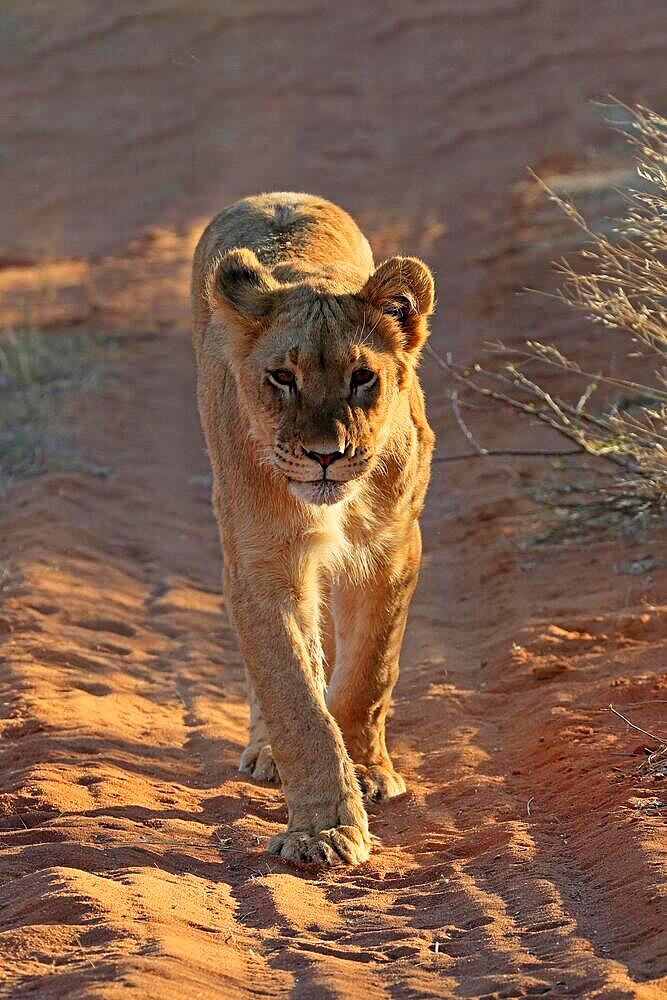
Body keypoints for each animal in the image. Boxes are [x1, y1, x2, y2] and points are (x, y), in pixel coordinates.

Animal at [190, 191, 436, 864]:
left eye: (362, 377)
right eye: (283, 377)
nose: (326, 455)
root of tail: (278, 195)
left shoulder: (392, 548)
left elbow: (369, 671)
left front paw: (368, 772)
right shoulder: (262, 563)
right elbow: (295, 697)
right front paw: (325, 829)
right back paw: (266, 752)